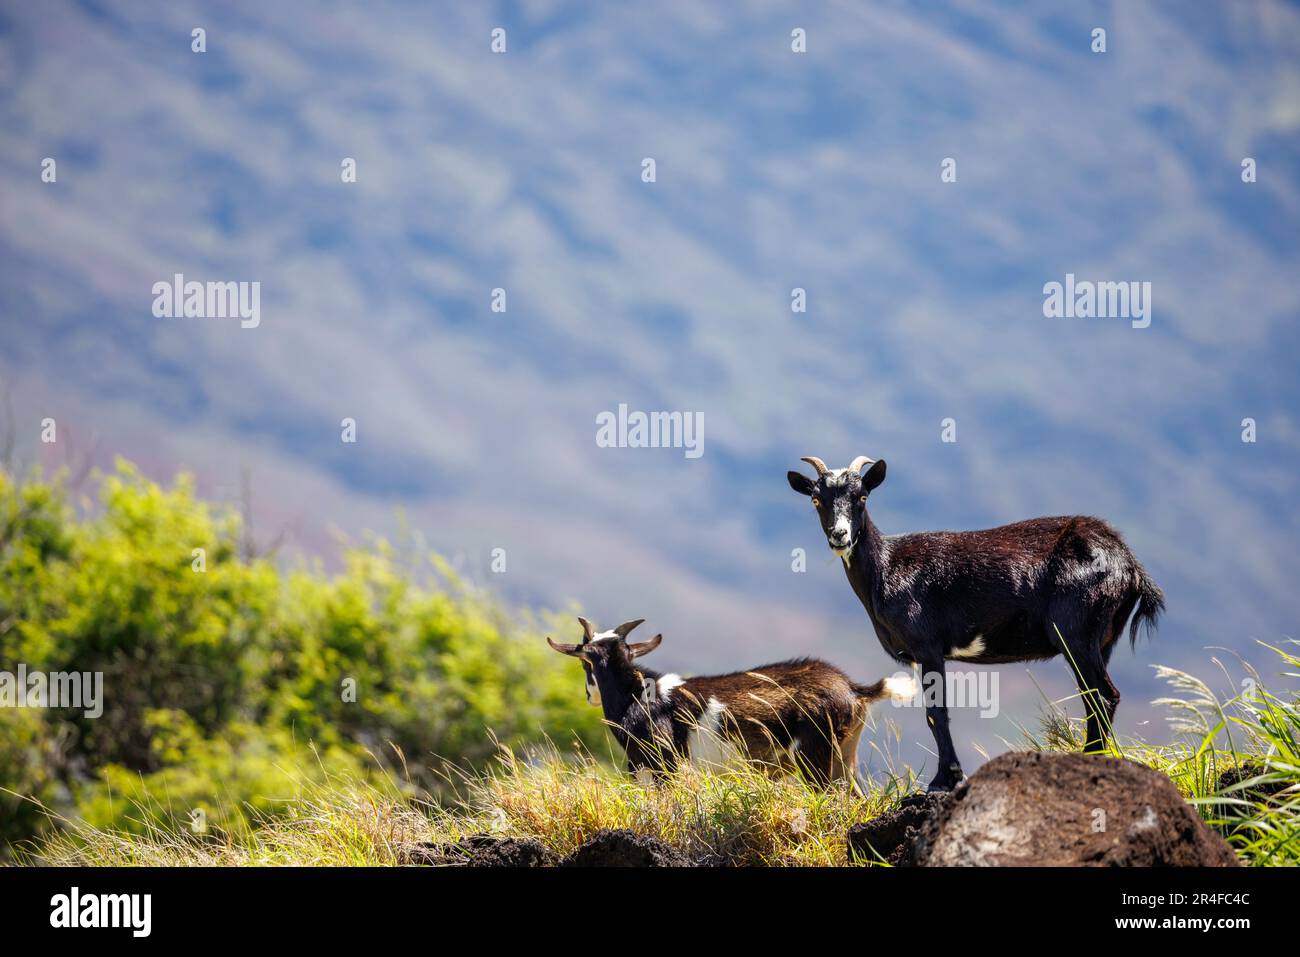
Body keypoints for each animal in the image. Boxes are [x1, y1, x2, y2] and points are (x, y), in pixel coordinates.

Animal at [547, 616, 915, 788]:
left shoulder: (660, 764)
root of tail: (854, 689)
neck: (640, 695)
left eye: (585, 665)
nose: (588, 695)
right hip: (844, 755)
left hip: (814, 756)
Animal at [787, 455, 1165, 792]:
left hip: (1075, 633)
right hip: (1103, 640)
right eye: (817, 499)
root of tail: (1129, 565)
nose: (840, 535)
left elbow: (936, 712)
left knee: (1104, 696)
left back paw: (1089, 759)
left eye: (862, 497)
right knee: (1093, 698)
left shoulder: (928, 645)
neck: (887, 568)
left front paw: (944, 780)